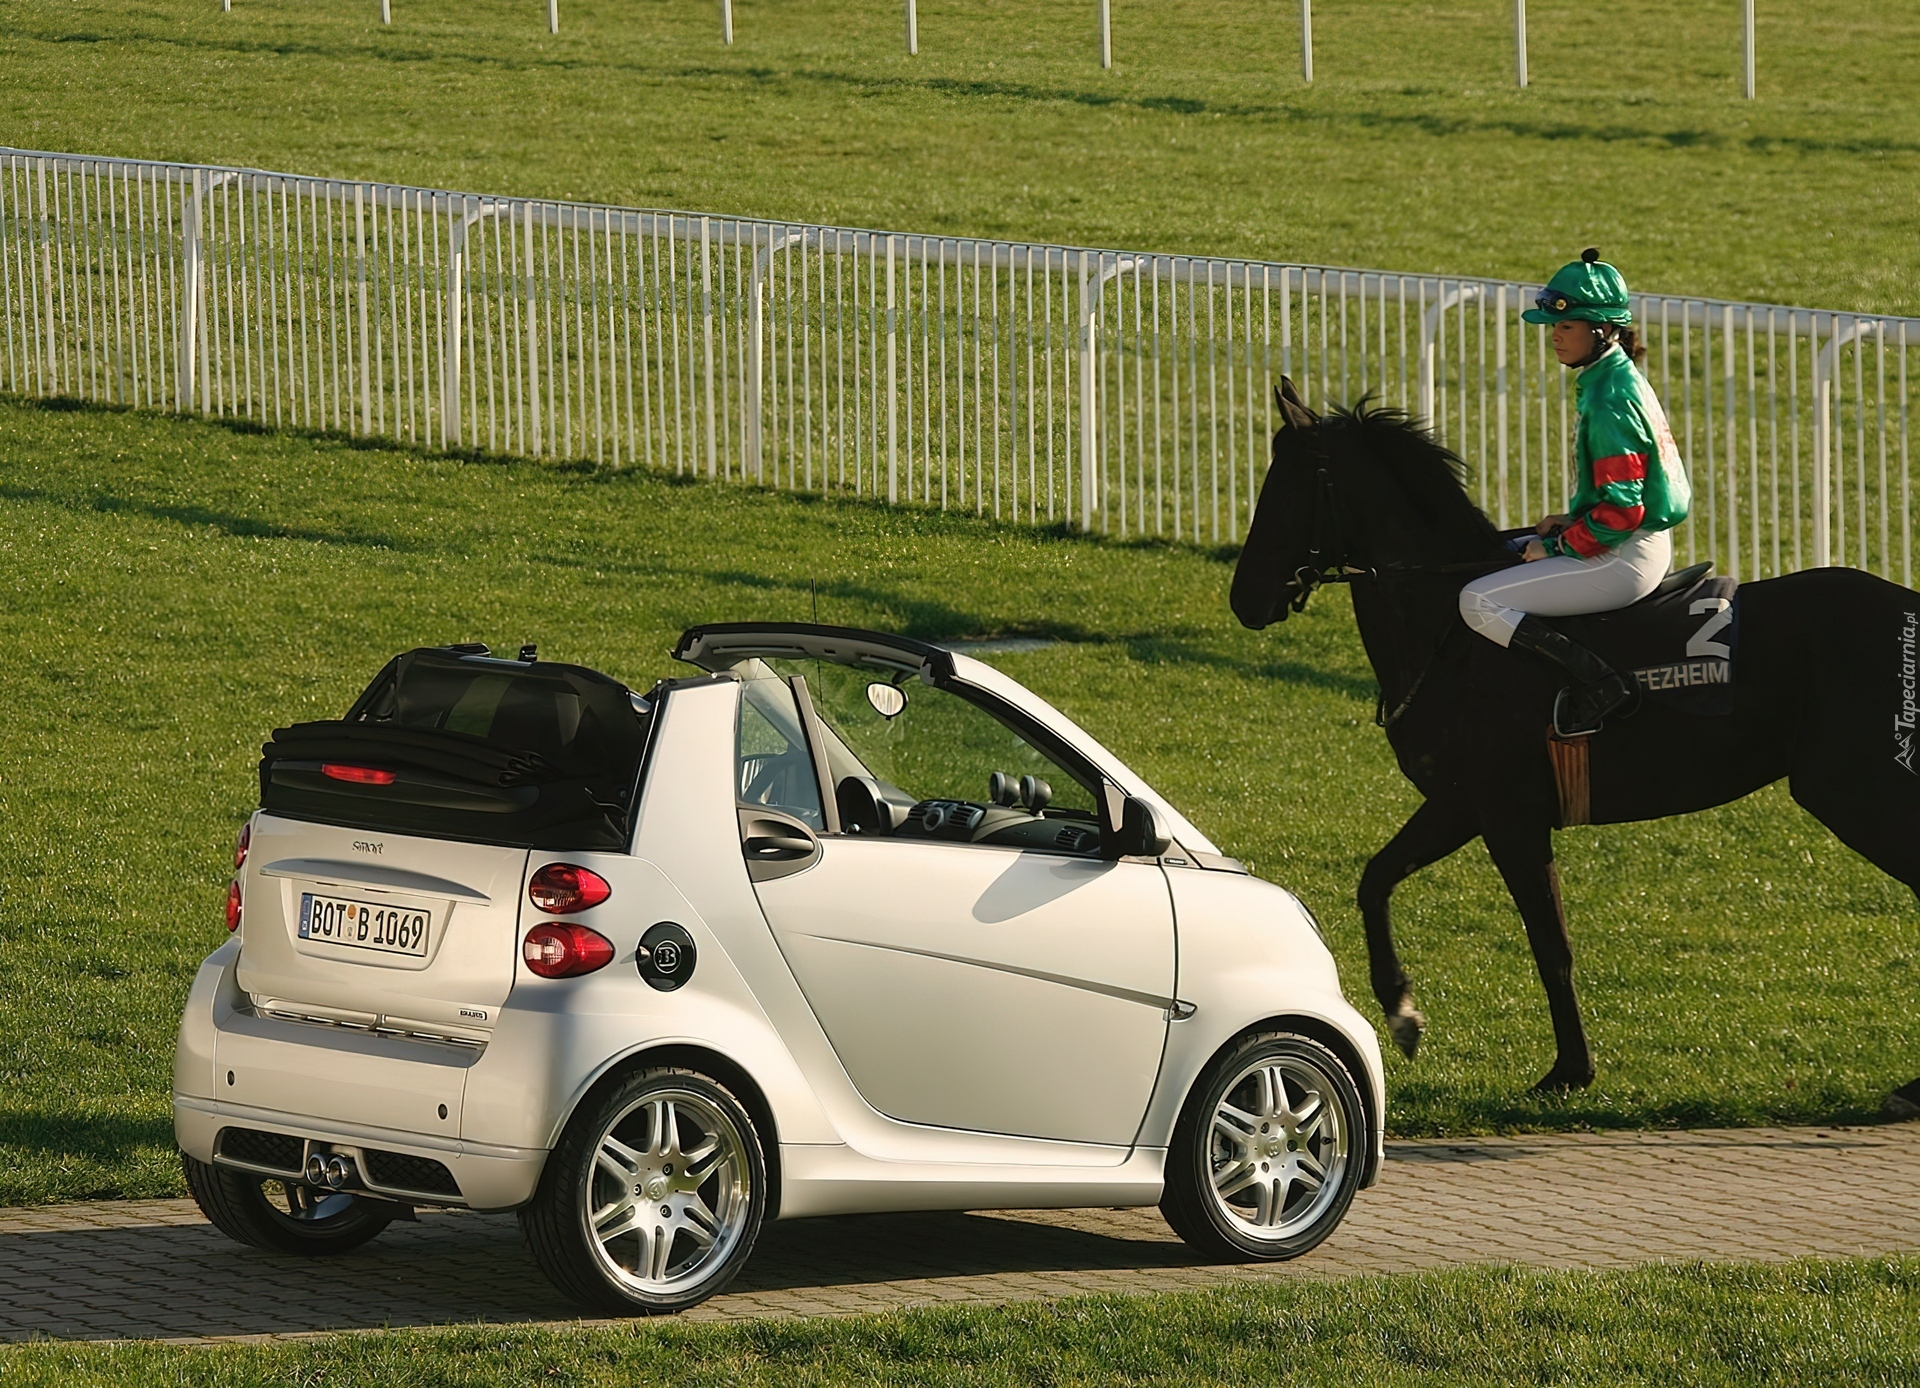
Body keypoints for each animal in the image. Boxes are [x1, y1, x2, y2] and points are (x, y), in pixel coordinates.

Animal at [1228, 378, 1920, 1105]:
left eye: (1285, 488)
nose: (1245, 597)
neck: (1450, 637)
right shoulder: (1464, 805)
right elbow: (1376, 878)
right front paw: (1402, 1011)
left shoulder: (1505, 811)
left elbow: (1548, 941)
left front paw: (1568, 1068)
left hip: (1855, 790)